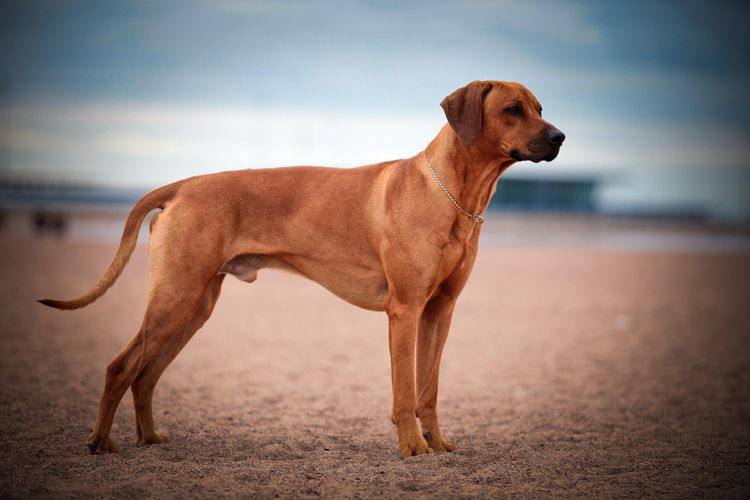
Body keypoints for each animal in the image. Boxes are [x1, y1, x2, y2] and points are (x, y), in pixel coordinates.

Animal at [39, 79, 564, 458]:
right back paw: (101, 442)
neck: (454, 194)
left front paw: (437, 443)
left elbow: (428, 391)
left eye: (540, 107)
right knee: (121, 367)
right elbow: (404, 393)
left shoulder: (440, 310)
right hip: (175, 297)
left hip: (195, 306)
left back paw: (149, 438)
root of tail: (184, 185)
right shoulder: (405, 310)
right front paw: (413, 449)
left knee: (145, 375)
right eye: (513, 110)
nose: (559, 137)